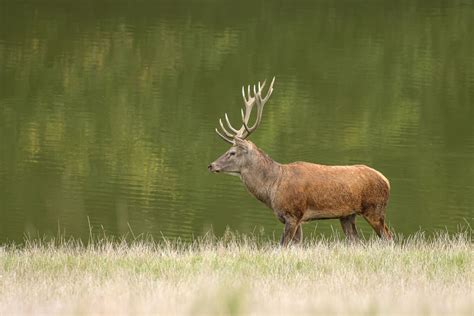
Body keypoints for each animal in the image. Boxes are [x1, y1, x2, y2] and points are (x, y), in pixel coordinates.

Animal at [208, 78, 392, 246]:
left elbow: (282, 245)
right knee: (356, 240)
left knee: (388, 237)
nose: (211, 165)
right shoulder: (296, 219)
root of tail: (386, 181)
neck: (272, 187)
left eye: (232, 152)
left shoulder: (293, 214)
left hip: (375, 209)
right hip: (347, 215)